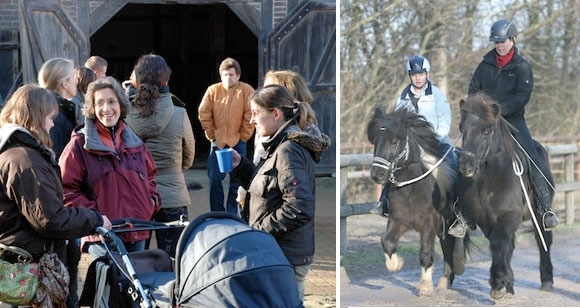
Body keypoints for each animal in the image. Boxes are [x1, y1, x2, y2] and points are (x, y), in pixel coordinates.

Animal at [368, 107, 466, 296]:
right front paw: (396, 263)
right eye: (375, 141)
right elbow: (387, 242)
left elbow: (426, 253)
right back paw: (446, 279)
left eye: (394, 142)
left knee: (452, 243)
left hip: (450, 220)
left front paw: (426, 287)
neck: (411, 189)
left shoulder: (430, 223)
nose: (377, 175)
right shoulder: (397, 220)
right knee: (447, 244)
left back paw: (454, 269)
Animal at [458, 92, 552, 300]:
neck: (491, 178)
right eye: (463, 130)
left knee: (544, 240)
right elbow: (501, 246)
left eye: (486, 131)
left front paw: (498, 282)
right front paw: (505, 284)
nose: (466, 166)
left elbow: (499, 244)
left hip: (539, 216)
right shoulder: (486, 220)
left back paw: (547, 281)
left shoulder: (508, 215)